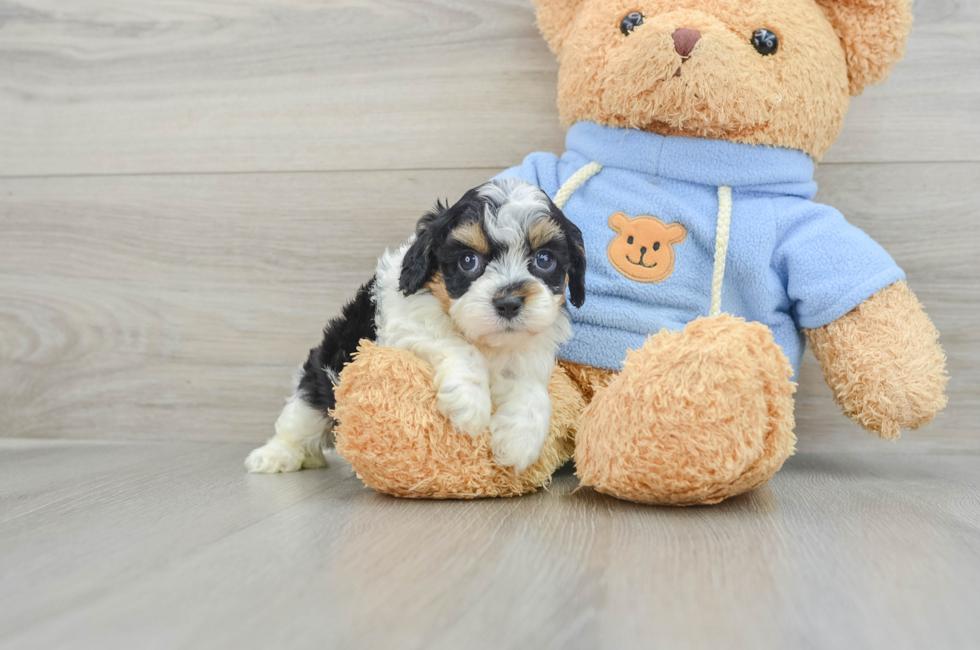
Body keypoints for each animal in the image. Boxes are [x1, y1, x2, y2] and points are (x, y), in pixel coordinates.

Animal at [244, 180, 584, 474]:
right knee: (300, 419)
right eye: (468, 261)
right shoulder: (403, 329)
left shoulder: (528, 351)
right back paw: (275, 455)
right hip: (322, 377)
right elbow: (457, 345)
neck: (487, 341)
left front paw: (520, 441)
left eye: (544, 259)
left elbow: (533, 390)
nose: (509, 302)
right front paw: (470, 403)